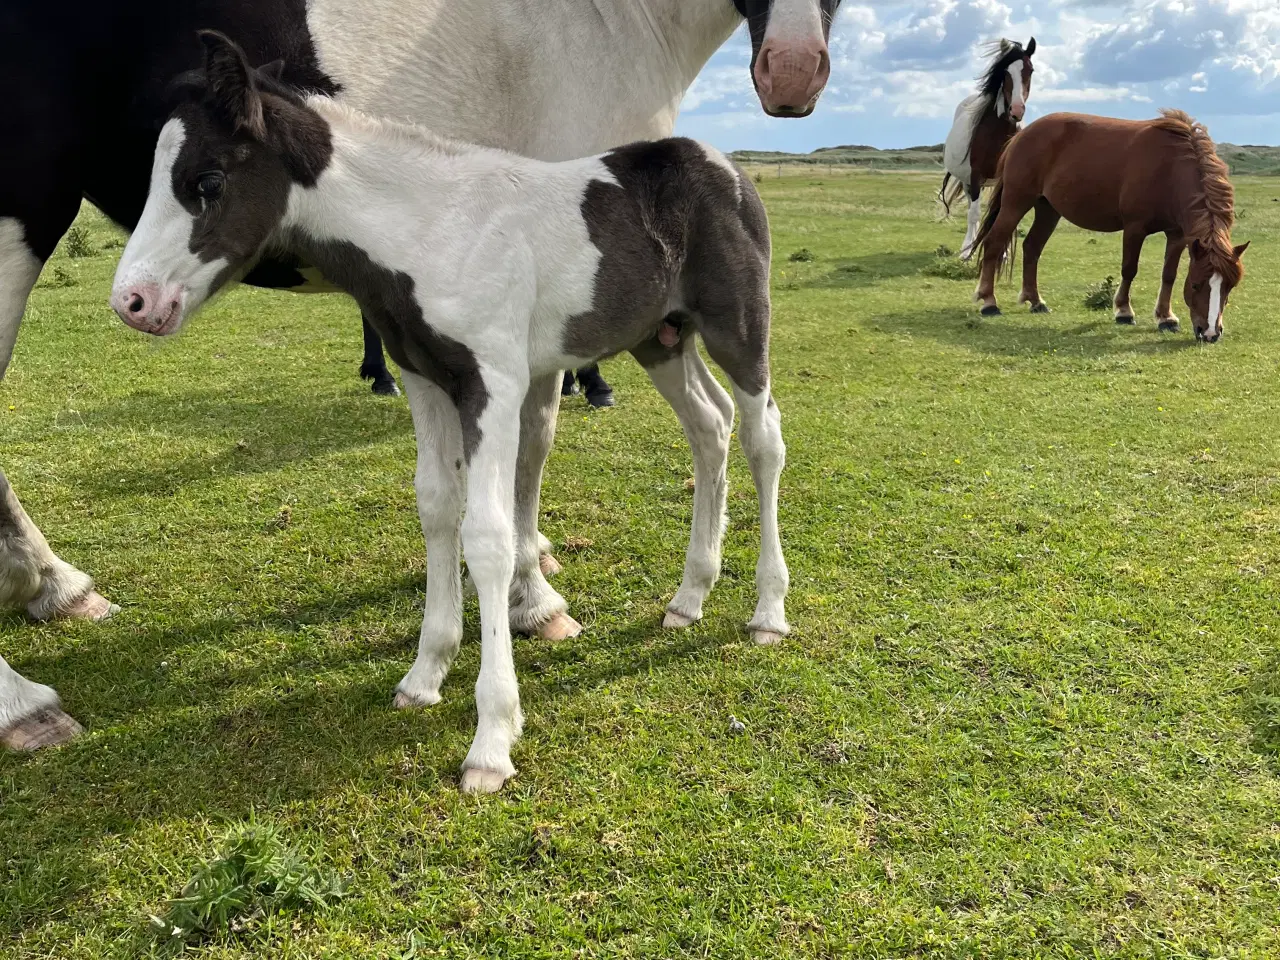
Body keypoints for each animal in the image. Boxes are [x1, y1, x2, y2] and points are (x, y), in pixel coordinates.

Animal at [2, 0, 849, 752]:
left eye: (208, 181)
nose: (134, 301)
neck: (433, 229)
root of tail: (719, 163)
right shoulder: (428, 378)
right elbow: (439, 509)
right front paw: (424, 675)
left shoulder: (493, 383)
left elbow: (491, 531)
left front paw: (493, 739)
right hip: (662, 339)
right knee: (710, 425)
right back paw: (689, 598)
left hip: (739, 326)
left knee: (763, 437)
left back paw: (767, 613)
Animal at [942, 37, 1039, 259]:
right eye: (1005, 72)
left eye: (1030, 70)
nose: (1017, 110)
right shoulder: (976, 176)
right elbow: (974, 214)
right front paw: (968, 252)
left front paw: (1002, 253)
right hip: (968, 182)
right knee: (972, 210)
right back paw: (968, 246)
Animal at [972, 110, 1244, 343]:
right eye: (1196, 285)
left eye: (1229, 287)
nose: (1210, 333)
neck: (1170, 168)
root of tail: (1021, 135)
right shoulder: (1135, 228)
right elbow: (1129, 269)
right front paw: (1124, 311)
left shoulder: (1177, 235)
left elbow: (1169, 275)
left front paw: (1166, 318)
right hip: (1016, 201)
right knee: (994, 242)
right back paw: (989, 302)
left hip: (1048, 209)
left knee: (1032, 248)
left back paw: (1036, 301)